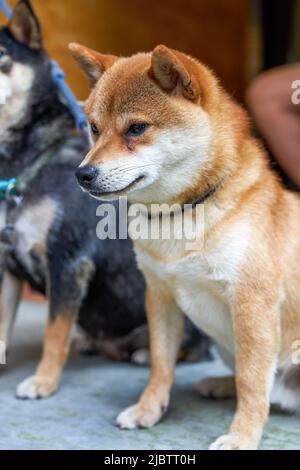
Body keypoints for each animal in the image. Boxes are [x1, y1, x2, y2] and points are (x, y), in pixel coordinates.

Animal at [69, 42, 300, 450]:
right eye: (94, 128)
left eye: (137, 128)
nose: (83, 174)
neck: (180, 215)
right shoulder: (160, 296)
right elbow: (161, 365)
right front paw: (148, 409)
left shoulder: (251, 303)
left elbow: (252, 382)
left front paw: (242, 435)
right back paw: (220, 384)